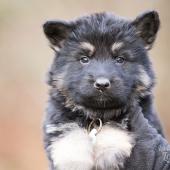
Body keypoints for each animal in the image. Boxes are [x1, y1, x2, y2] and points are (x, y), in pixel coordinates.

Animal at [42, 11, 163, 169]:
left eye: (120, 59)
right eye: (84, 59)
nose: (102, 84)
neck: (96, 115)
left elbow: (116, 125)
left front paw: (109, 151)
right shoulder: (59, 117)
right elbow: (69, 131)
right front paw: (74, 159)